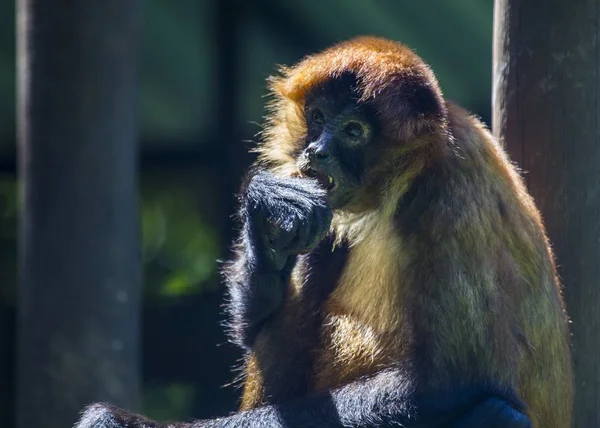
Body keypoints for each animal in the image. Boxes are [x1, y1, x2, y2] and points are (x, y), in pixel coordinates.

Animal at [75, 36, 572, 428]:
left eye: (352, 131)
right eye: (317, 117)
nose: (318, 150)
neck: (403, 182)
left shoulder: (448, 190)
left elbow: (452, 379)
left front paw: (115, 422)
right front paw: (266, 215)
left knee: (499, 412)